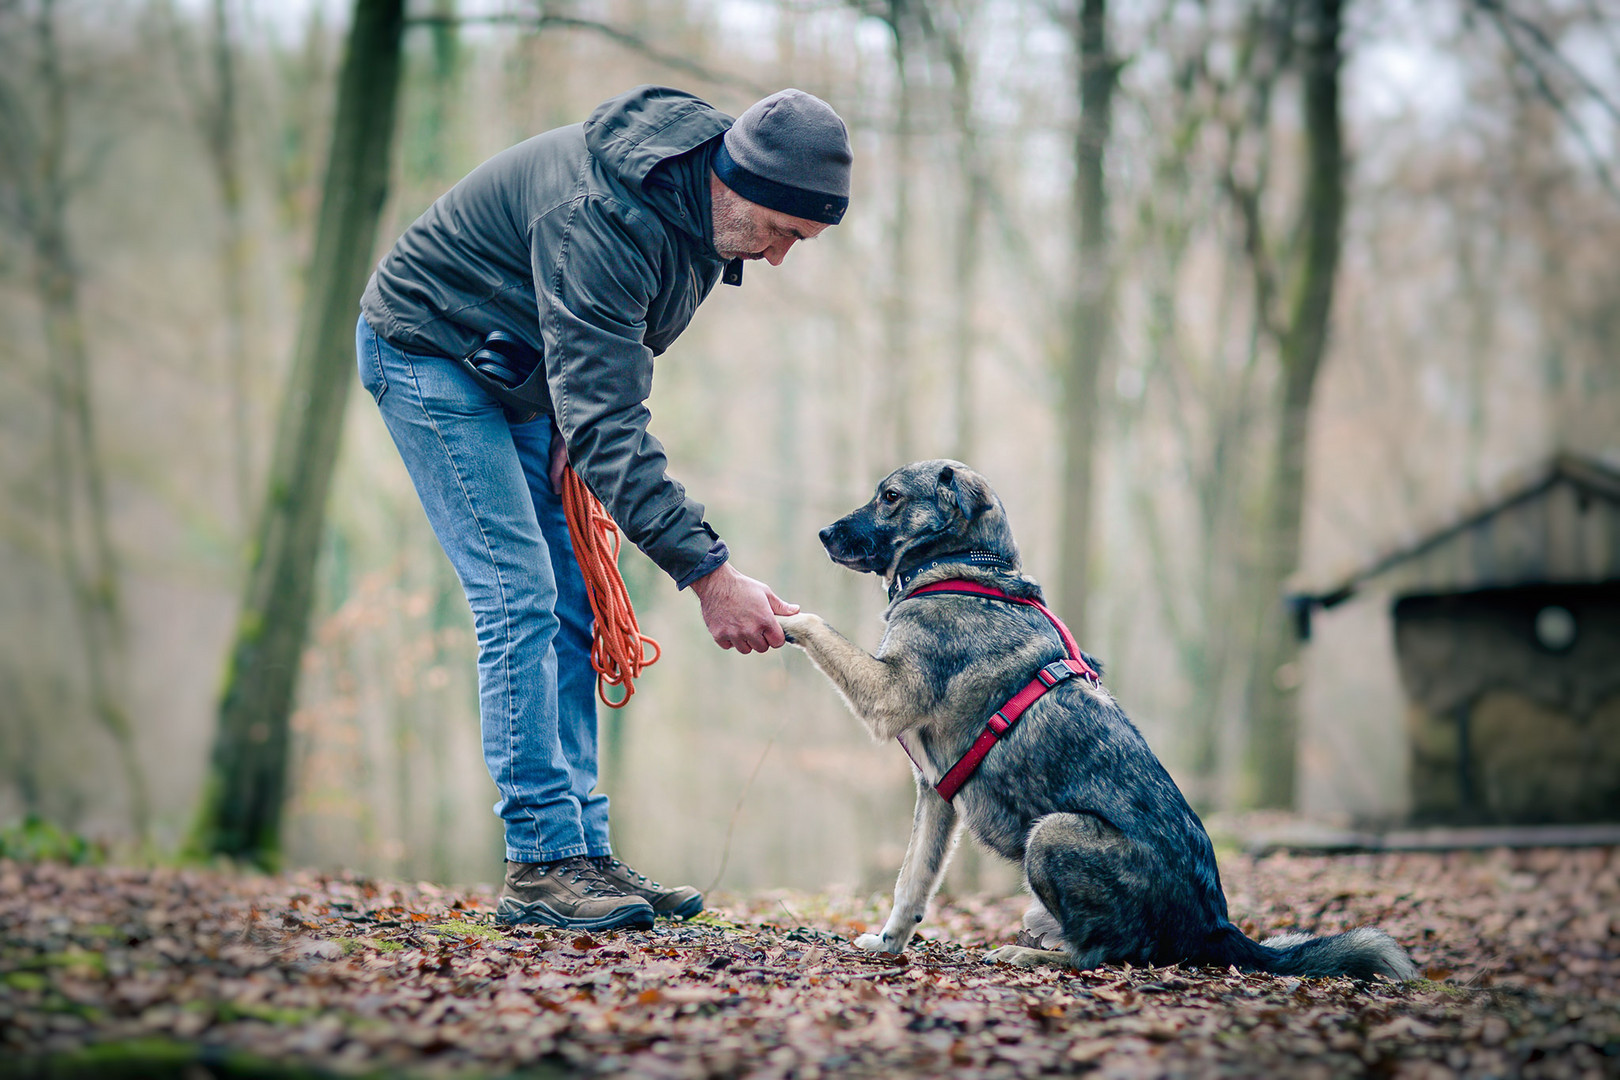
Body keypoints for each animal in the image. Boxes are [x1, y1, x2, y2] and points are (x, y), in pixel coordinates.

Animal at [780, 459, 1419, 984]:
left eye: (889, 496)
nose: (823, 534)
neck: (959, 566)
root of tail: (1216, 927)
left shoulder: (887, 695)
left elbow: (814, 623)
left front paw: (778, 615)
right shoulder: (935, 795)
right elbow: (910, 882)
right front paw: (888, 944)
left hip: (1052, 833)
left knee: (1102, 955)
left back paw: (1031, 955)